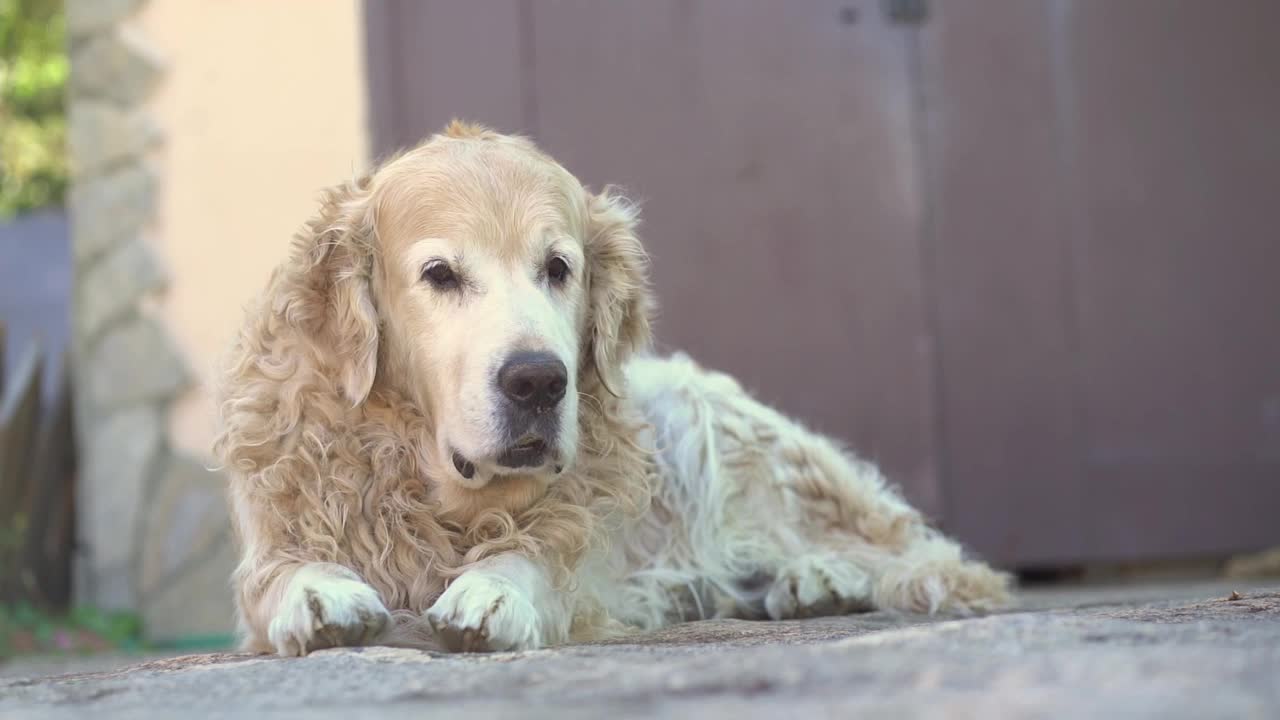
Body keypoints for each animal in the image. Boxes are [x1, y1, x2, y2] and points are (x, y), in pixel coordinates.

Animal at [215, 120, 1008, 653]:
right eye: (440, 274)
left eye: (558, 268)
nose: (538, 380)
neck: (428, 483)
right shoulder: (274, 532)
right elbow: (278, 573)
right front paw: (318, 589)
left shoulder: (576, 543)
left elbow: (537, 558)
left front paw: (495, 590)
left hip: (711, 427)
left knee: (906, 551)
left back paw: (818, 578)